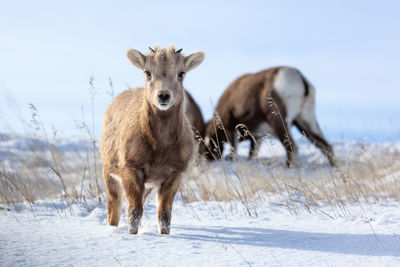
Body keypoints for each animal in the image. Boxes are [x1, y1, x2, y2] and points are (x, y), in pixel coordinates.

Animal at [99, 46, 205, 234]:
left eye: (181, 73)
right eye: (147, 72)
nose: (163, 96)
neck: (160, 149)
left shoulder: (173, 175)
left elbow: (164, 214)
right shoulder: (131, 168)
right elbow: (134, 212)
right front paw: (132, 234)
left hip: (147, 185)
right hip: (109, 172)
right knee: (114, 206)